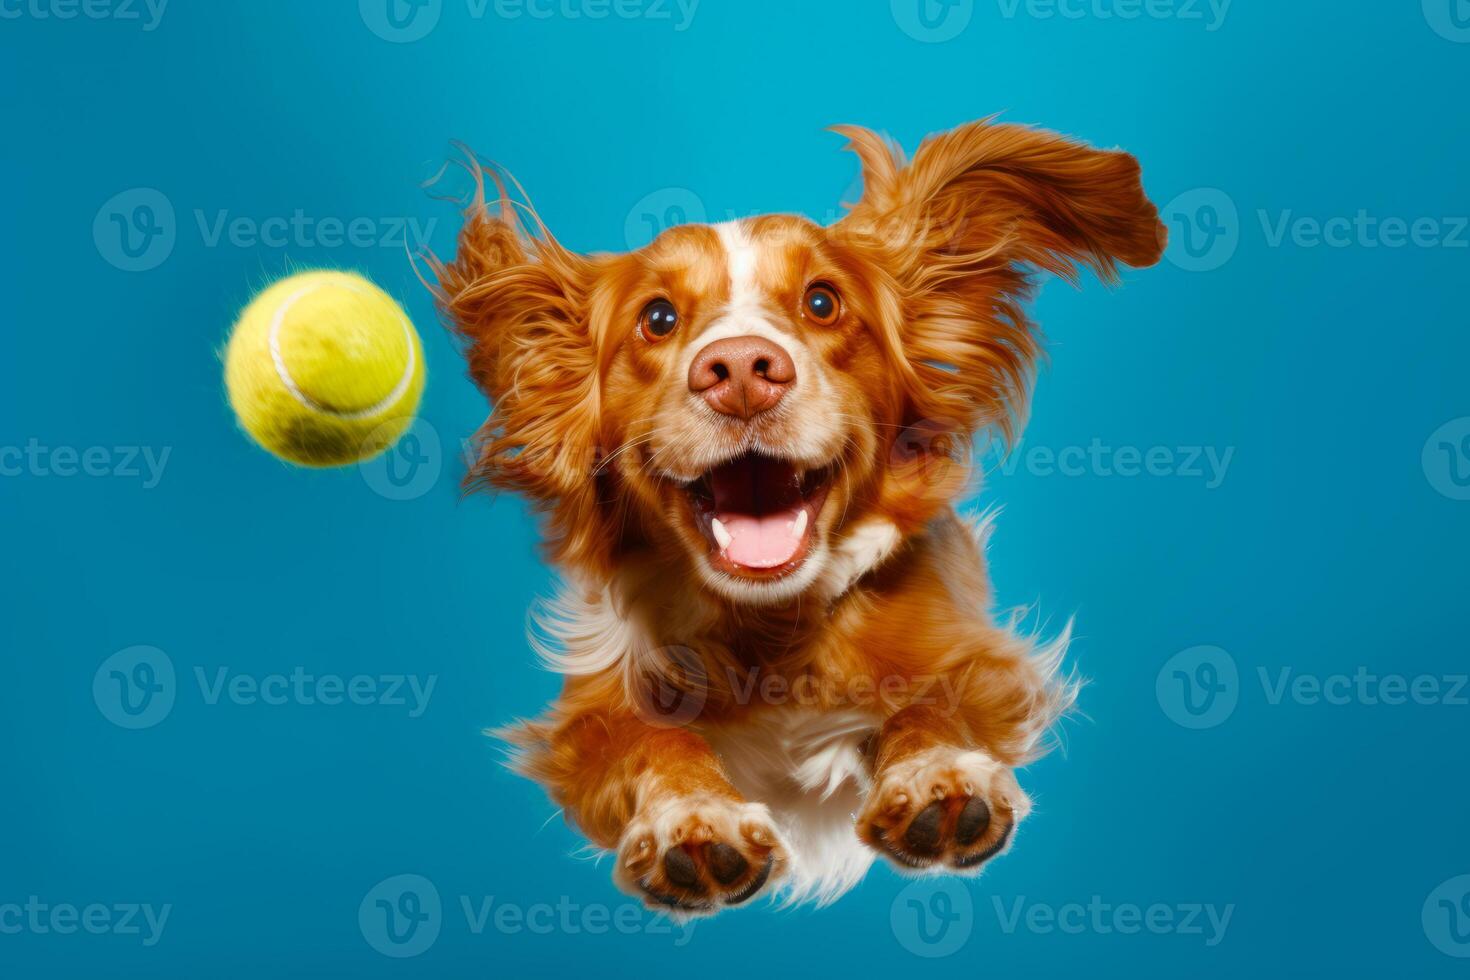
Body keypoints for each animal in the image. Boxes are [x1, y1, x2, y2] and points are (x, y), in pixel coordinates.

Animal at [429, 119, 1164, 916]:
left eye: (822, 302)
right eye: (657, 318)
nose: (740, 370)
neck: (773, 635)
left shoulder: (979, 660)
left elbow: (929, 705)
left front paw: (937, 775)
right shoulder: (591, 713)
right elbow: (657, 741)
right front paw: (694, 815)